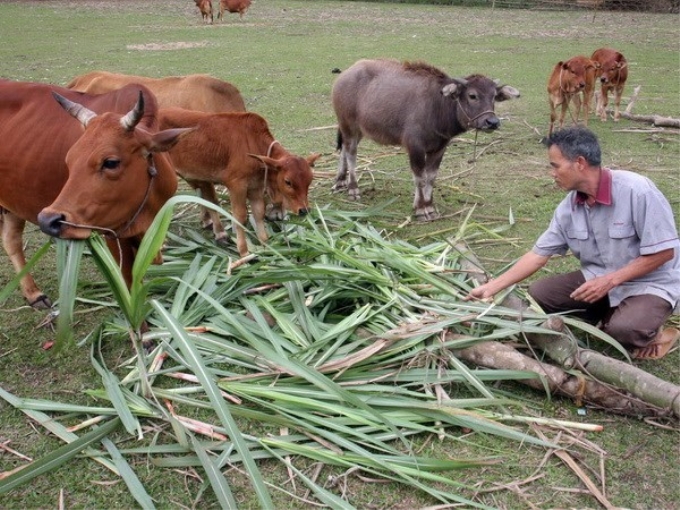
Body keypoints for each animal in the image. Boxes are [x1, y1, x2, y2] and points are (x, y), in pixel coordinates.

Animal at [0, 80, 189, 306]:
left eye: (111, 162)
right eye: (69, 159)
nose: (47, 220)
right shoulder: (113, 234)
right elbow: (128, 284)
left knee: (11, 240)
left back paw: (33, 293)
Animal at [159, 109, 318, 256]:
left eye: (310, 180)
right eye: (288, 182)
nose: (304, 210)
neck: (253, 144)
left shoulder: (255, 187)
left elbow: (259, 212)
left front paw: (266, 245)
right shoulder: (236, 185)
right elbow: (240, 216)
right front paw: (244, 252)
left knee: (208, 199)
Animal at [330, 58, 520, 220]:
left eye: (494, 96)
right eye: (472, 95)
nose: (492, 122)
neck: (437, 106)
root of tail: (345, 74)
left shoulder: (440, 147)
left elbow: (431, 177)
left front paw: (429, 206)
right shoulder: (415, 147)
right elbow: (419, 177)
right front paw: (421, 209)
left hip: (357, 130)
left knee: (344, 150)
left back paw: (340, 181)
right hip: (348, 124)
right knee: (351, 153)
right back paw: (353, 189)